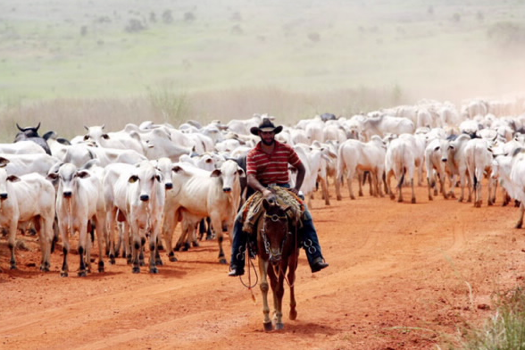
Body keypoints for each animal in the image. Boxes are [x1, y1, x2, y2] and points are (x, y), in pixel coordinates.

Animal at [256, 198, 298, 330]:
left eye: (283, 229)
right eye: (267, 228)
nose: (275, 256)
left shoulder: (283, 259)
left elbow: (280, 289)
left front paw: (279, 320)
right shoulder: (263, 256)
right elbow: (264, 285)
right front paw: (267, 320)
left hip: (293, 256)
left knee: (291, 277)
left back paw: (292, 311)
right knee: (273, 281)